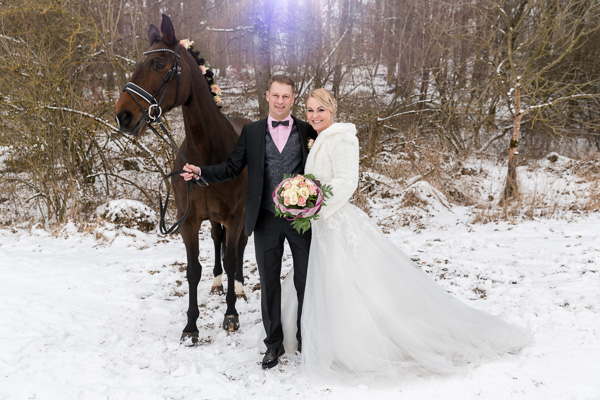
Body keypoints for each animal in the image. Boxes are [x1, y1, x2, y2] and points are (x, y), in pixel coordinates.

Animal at [115, 14, 248, 342]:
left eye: (159, 64)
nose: (123, 115)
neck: (208, 153)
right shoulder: (188, 221)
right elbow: (193, 269)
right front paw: (191, 326)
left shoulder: (235, 216)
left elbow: (232, 257)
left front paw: (230, 316)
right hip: (213, 220)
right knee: (218, 241)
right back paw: (217, 284)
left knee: (240, 247)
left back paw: (238, 288)